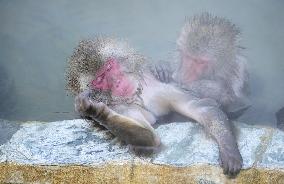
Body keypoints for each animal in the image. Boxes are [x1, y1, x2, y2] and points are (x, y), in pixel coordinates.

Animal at [65, 36, 243, 177]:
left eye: (109, 68)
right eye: (100, 80)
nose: (116, 82)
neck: (138, 94)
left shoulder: (161, 87)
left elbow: (201, 108)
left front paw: (228, 148)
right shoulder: (119, 107)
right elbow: (149, 138)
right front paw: (93, 110)